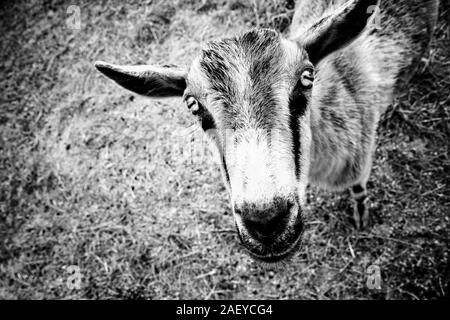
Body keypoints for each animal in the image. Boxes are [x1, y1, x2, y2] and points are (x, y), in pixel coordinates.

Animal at [94, 0, 440, 264]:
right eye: (193, 105)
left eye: (306, 78)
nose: (266, 221)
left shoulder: (360, 161)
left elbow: (358, 189)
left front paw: (361, 215)